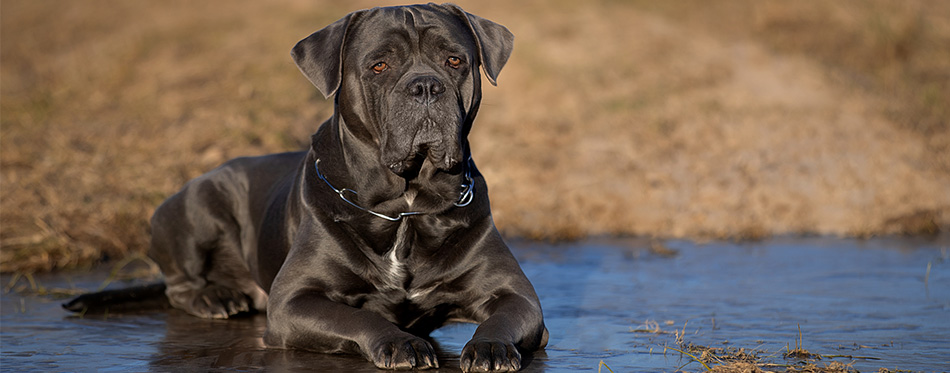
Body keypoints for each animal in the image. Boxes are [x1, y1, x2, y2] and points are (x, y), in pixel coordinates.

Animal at [67, 3, 552, 372]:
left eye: (454, 60)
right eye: (380, 65)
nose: (426, 86)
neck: (405, 206)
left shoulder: (519, 298)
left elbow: (503, 317)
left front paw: (490, 347)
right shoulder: (293, 303)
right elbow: (357, 320)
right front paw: (400, 342)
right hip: (196, 204)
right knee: (177, 284)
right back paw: (214, 298)